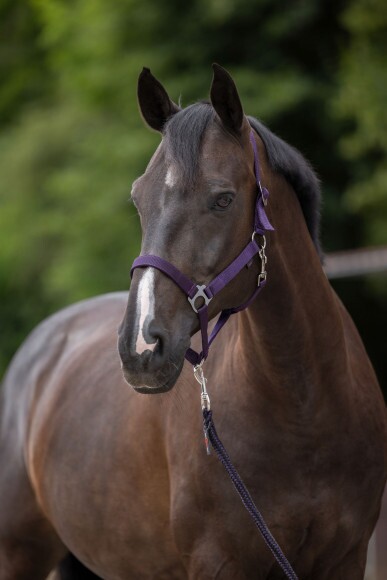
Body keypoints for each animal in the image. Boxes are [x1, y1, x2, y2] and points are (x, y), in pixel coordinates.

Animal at [0, 63, 387, 580]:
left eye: (222, 200)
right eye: (138, 199)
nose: (141, 348)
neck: (305, 412)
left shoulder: (347, 558)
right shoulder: (218, 563)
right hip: (19, 553)